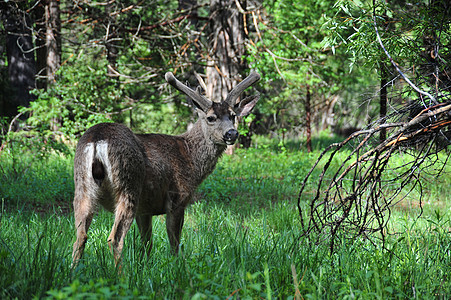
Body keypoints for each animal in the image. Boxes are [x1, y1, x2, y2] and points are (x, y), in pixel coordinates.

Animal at [72, 71, 260, 268]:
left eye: (232, 115)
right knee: (114, 239)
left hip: (82, 186)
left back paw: (74, 271)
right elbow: (175, 243)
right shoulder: (177, 199)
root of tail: (97, 139)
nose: (232, 133)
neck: (191, 157)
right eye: (211, 118)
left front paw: (145, 267)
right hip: (128, 185)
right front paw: (177, 267)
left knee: (80, 236)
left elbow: (147, 243)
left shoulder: (145, 209)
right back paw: (120, 273)